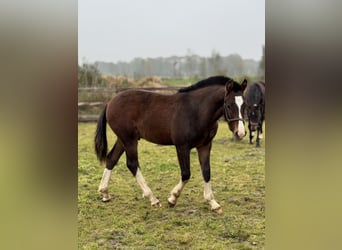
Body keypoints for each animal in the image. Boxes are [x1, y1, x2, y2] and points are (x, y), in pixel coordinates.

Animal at [95, 76, 247, 213]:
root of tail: (110, 102)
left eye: (244, 105)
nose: (240, 133)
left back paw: (105, 193)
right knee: (132, 164)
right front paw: (172, 199)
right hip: (129, 140)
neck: (196, 111)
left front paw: (213, 203)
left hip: (123, 139)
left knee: (111, 159)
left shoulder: (204, 146)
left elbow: (206, 172)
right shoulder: (182, 146)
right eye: (229, 105)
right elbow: (186, 174)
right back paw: (153, 199)